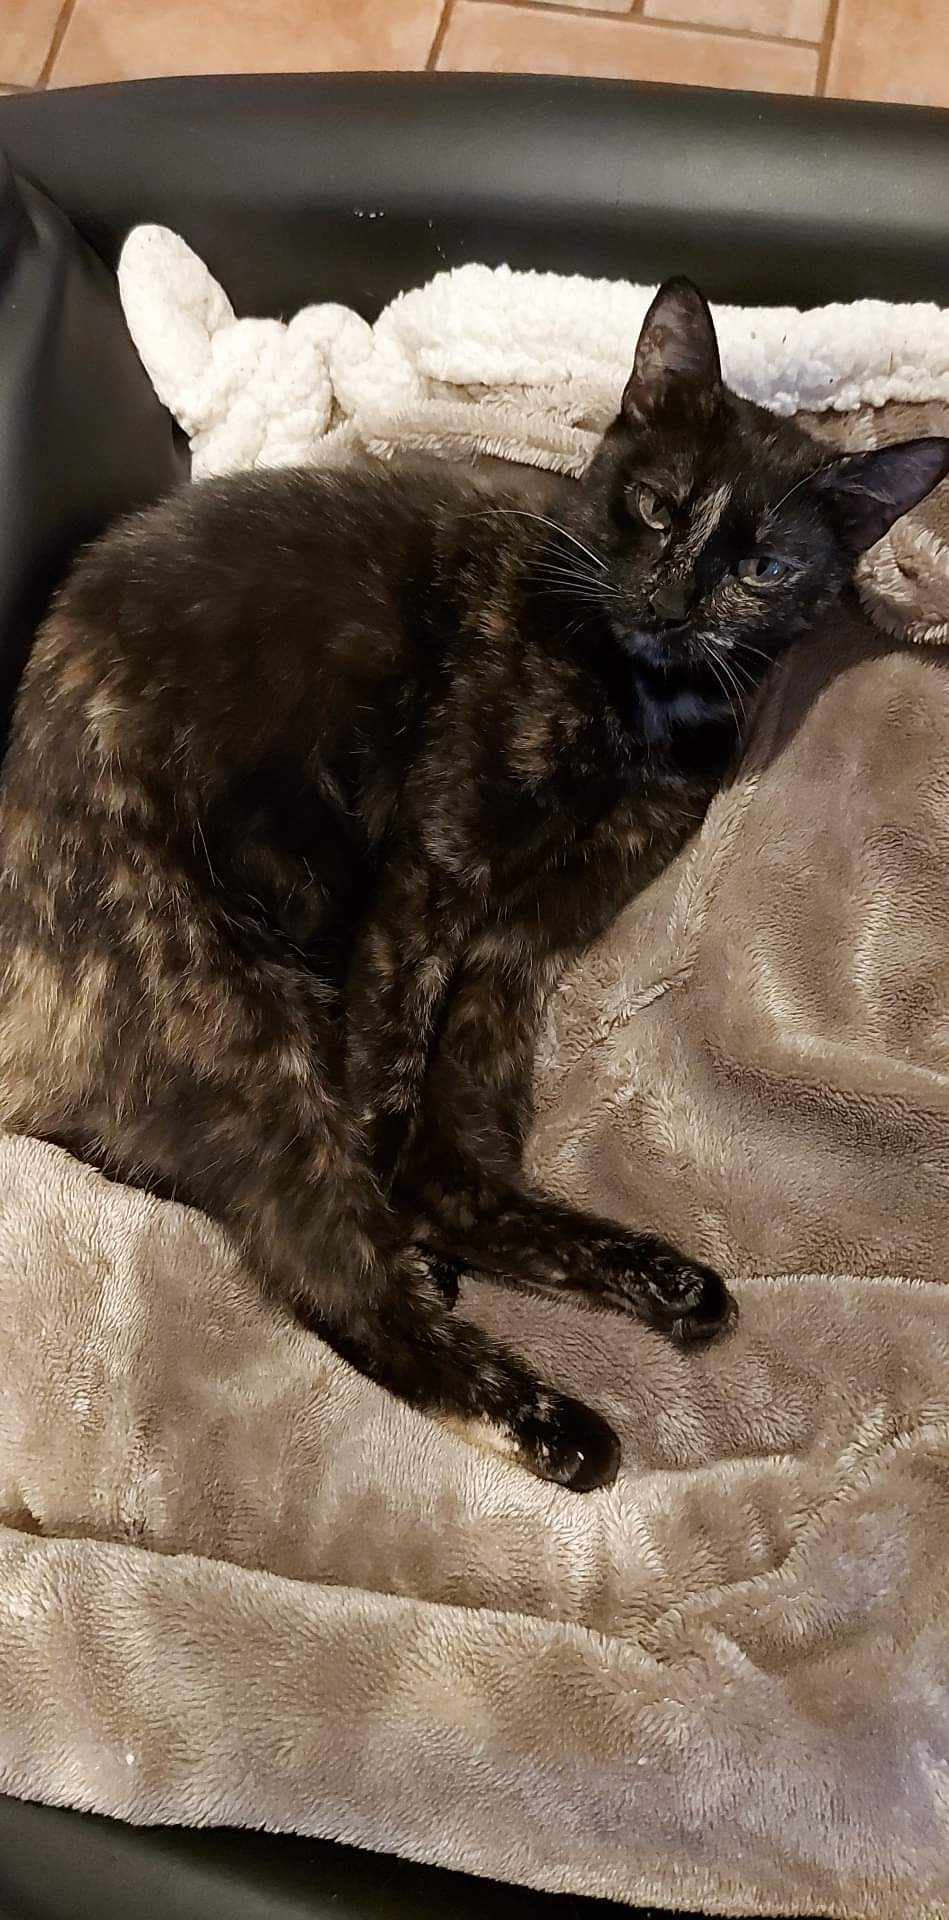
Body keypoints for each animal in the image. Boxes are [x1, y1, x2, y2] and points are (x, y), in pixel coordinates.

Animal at [0, 277, 946, 1494]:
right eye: (655, 506)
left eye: (763, 569)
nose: (672, 598)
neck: (639, 705)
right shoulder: (434, 873)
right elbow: (386, 1097)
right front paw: (412, 1241)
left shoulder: (521, 938)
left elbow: (435, 1150)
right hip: (226, 1006)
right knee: (324, 1261)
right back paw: (548, 1420)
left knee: (449, 1181)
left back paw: (660, 1283)